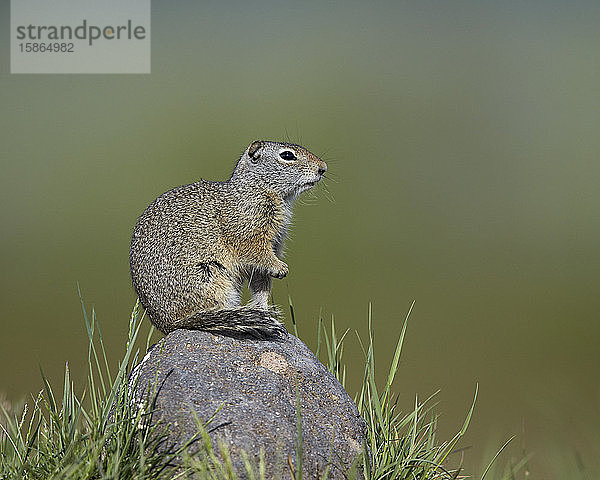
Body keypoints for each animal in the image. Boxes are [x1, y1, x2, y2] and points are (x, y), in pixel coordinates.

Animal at [127, 141, 328, 340]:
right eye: (287, 155)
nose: (323, 168)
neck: (257, 189)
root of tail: (166, 324)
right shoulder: (248, 232)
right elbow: (255, 253)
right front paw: (280, 268)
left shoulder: (273, 245)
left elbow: (261, 286)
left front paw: (265, 310)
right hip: (211, 276)